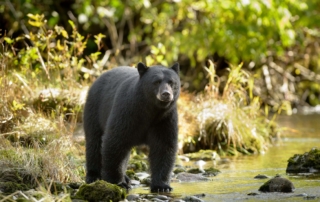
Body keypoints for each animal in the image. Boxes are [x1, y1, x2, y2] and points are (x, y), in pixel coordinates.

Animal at [84, 62, 181, 192]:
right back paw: (93, 176)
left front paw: (162, 186)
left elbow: (163, 146)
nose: (166, 94)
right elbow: (115, 141)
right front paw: (117, 182)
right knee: (94, 141)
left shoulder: (165, 119)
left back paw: (126, 177)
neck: (150, 110)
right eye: (156, 82)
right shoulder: (127, 112)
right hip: (94, 109)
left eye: (171, 82)